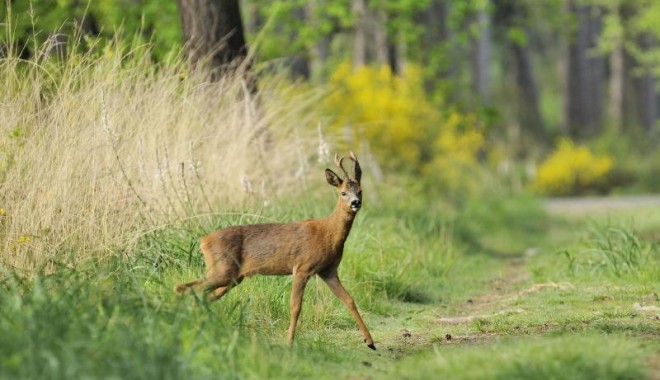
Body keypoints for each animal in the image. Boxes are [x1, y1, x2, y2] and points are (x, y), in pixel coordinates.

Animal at [173, 151, 374, 350]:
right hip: (223, 270)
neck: (328, 233)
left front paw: (370, 341)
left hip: (231, 276)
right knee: (189, 289)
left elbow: (349, 300)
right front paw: (289, 342)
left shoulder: (328, 270)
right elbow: (295, 307)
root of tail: (203, 241)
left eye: (360, 191)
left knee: (195, 291)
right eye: (343, 192)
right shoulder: (303, 267)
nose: (355, 202)